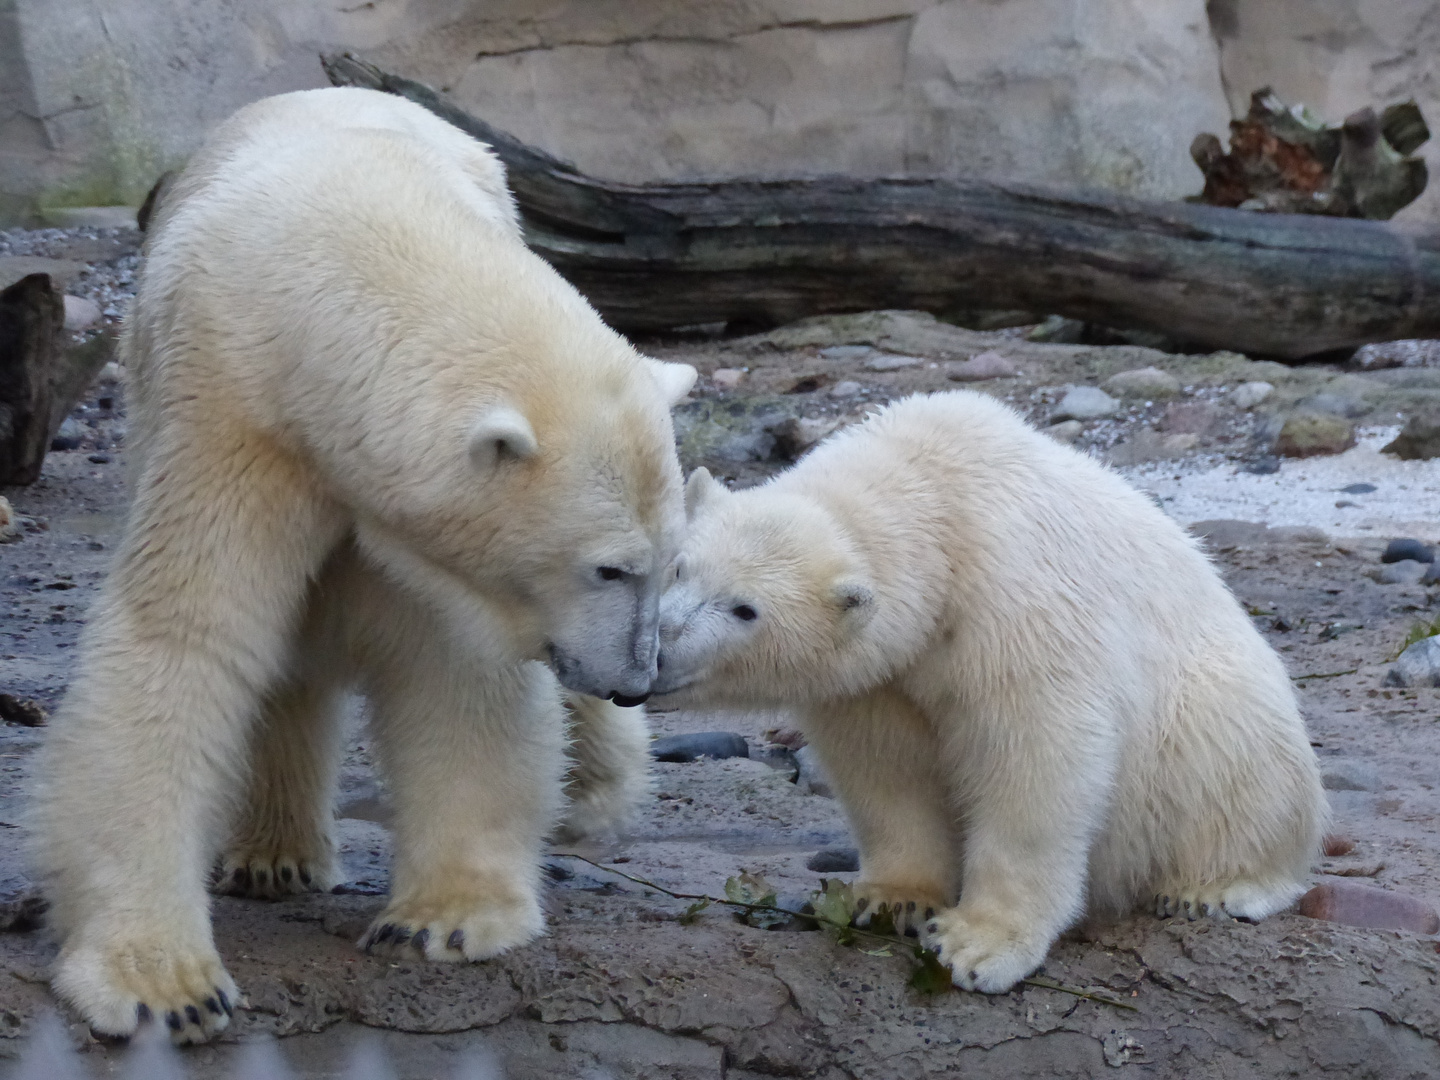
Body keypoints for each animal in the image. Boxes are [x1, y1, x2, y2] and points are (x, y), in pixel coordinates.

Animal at [28, 88, 691, 1042]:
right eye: (609, 568)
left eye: (668, 564)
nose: (637, 680)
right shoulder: (231, 413)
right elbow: (188, 633)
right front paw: (167, 987)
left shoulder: (406, 529)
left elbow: (453, 663)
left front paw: (443, 919)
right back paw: (271, 854)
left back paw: (595, 790)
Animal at [656, 391, 1324, 996]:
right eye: (679, 567)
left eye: (746, 609)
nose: (657, 648)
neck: (934, 491)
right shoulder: (879, 677)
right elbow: (886, 766)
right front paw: (892, 899)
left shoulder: (1015, 601)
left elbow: (1035, 757)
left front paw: (979, 944)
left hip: (1216, 709)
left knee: (1233, 763)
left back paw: (1212, 888)